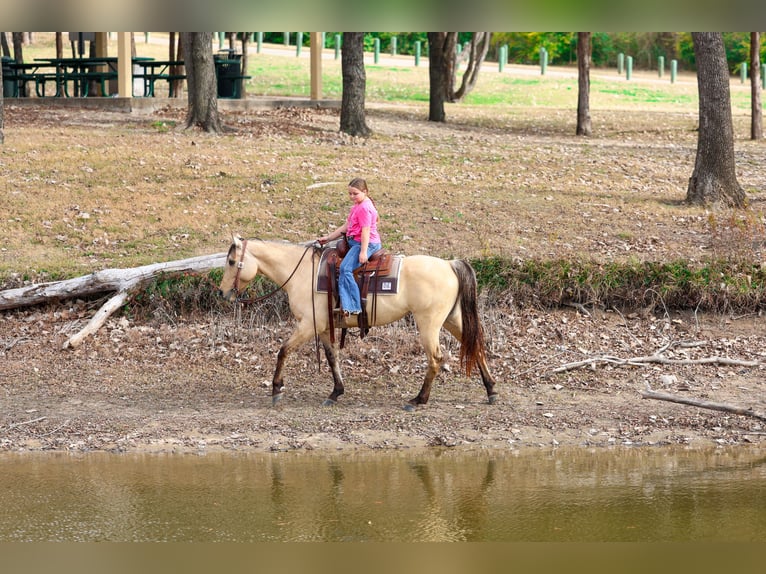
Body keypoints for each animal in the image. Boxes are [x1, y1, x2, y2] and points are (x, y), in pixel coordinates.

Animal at [218, 235, 499, 410]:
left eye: (231, 261)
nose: (222, 293)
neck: (302, 273)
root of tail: (450, 265)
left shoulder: (308, 325)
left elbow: (283, 351)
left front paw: (276, 390)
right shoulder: (323, 327)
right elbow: (332, 358)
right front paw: (336, 392)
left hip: (428, 324)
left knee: (437, 359)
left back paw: (418, 399)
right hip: (452, 319)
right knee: (476, 345)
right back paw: (491, 390)